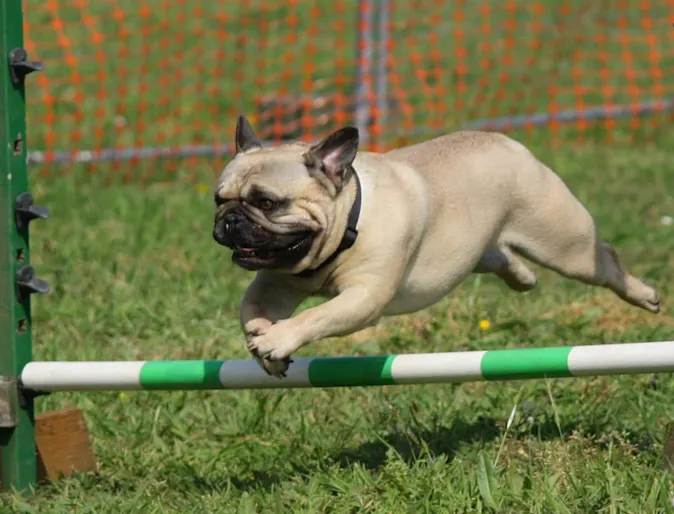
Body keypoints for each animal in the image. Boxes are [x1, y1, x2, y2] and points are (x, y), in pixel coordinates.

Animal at [213, 114, 660, 374]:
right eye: (219, 199)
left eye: (267, 203)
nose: (229, 220)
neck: (346, 227)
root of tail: (508, 143)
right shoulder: (272, 284)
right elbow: (249, 310)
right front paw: (263, 339)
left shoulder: (363, 298)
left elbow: (315, 316)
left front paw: (277, 338)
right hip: (477, 250)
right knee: (500, 257)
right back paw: (521, 277)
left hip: (563, 243)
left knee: (604, 259)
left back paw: (643, 294)